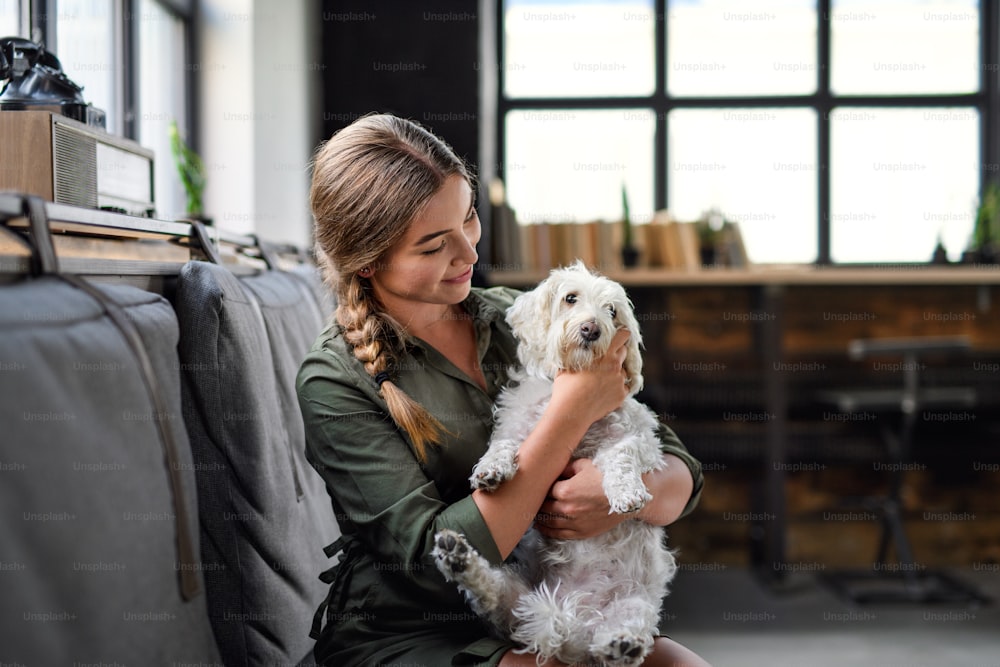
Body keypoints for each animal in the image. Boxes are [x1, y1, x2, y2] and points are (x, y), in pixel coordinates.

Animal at [432, 260, 676, 667]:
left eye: (611, 311)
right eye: (570, 298)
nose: (592, 329)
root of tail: (572, 623)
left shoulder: (638, 438)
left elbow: (622, 457)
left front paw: (627, 494)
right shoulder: (518, 426)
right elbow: (503, 444)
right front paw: (490, 470)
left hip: (635, 605)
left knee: (625, 631)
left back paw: (623, 644)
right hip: (516, 599)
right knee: (490, 594)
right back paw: (458, 558)